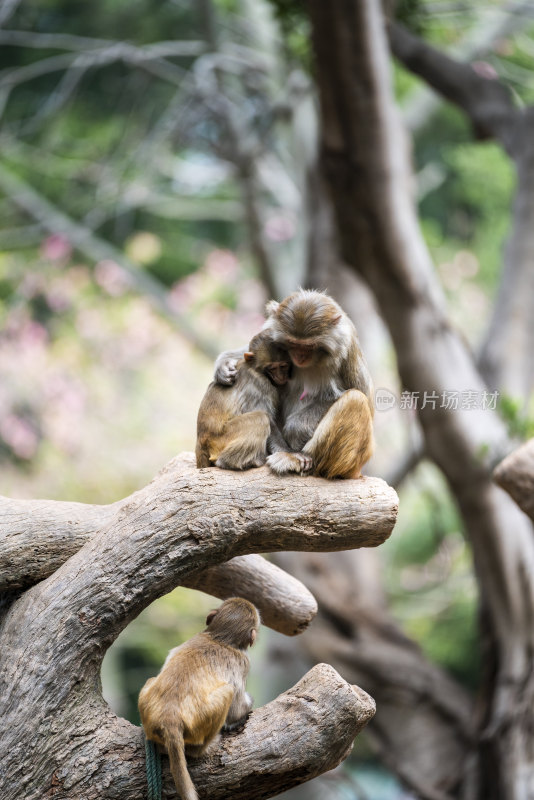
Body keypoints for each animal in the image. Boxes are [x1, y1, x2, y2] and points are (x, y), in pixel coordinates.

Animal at [139, 596, 260, 800]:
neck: (219, 638)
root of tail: (169, 719)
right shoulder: (243, 661)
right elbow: (236, 708)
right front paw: (242, 714)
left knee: (151, 680)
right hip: (199, 723)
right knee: (228, 691)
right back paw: (202, 749)